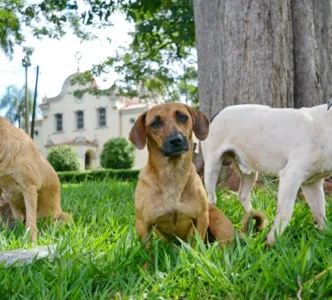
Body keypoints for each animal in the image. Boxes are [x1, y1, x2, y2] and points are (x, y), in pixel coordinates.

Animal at [201, 102, 330, 244]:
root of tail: (216, 114)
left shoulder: (312, 183)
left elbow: (320, 213)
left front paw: (325, 236)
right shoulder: (291, 176)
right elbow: (285, 213)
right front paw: (272, 241)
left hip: (249, 172)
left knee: (242, 195)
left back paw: (253, 220)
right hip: (212, 167)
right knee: (211, 199)